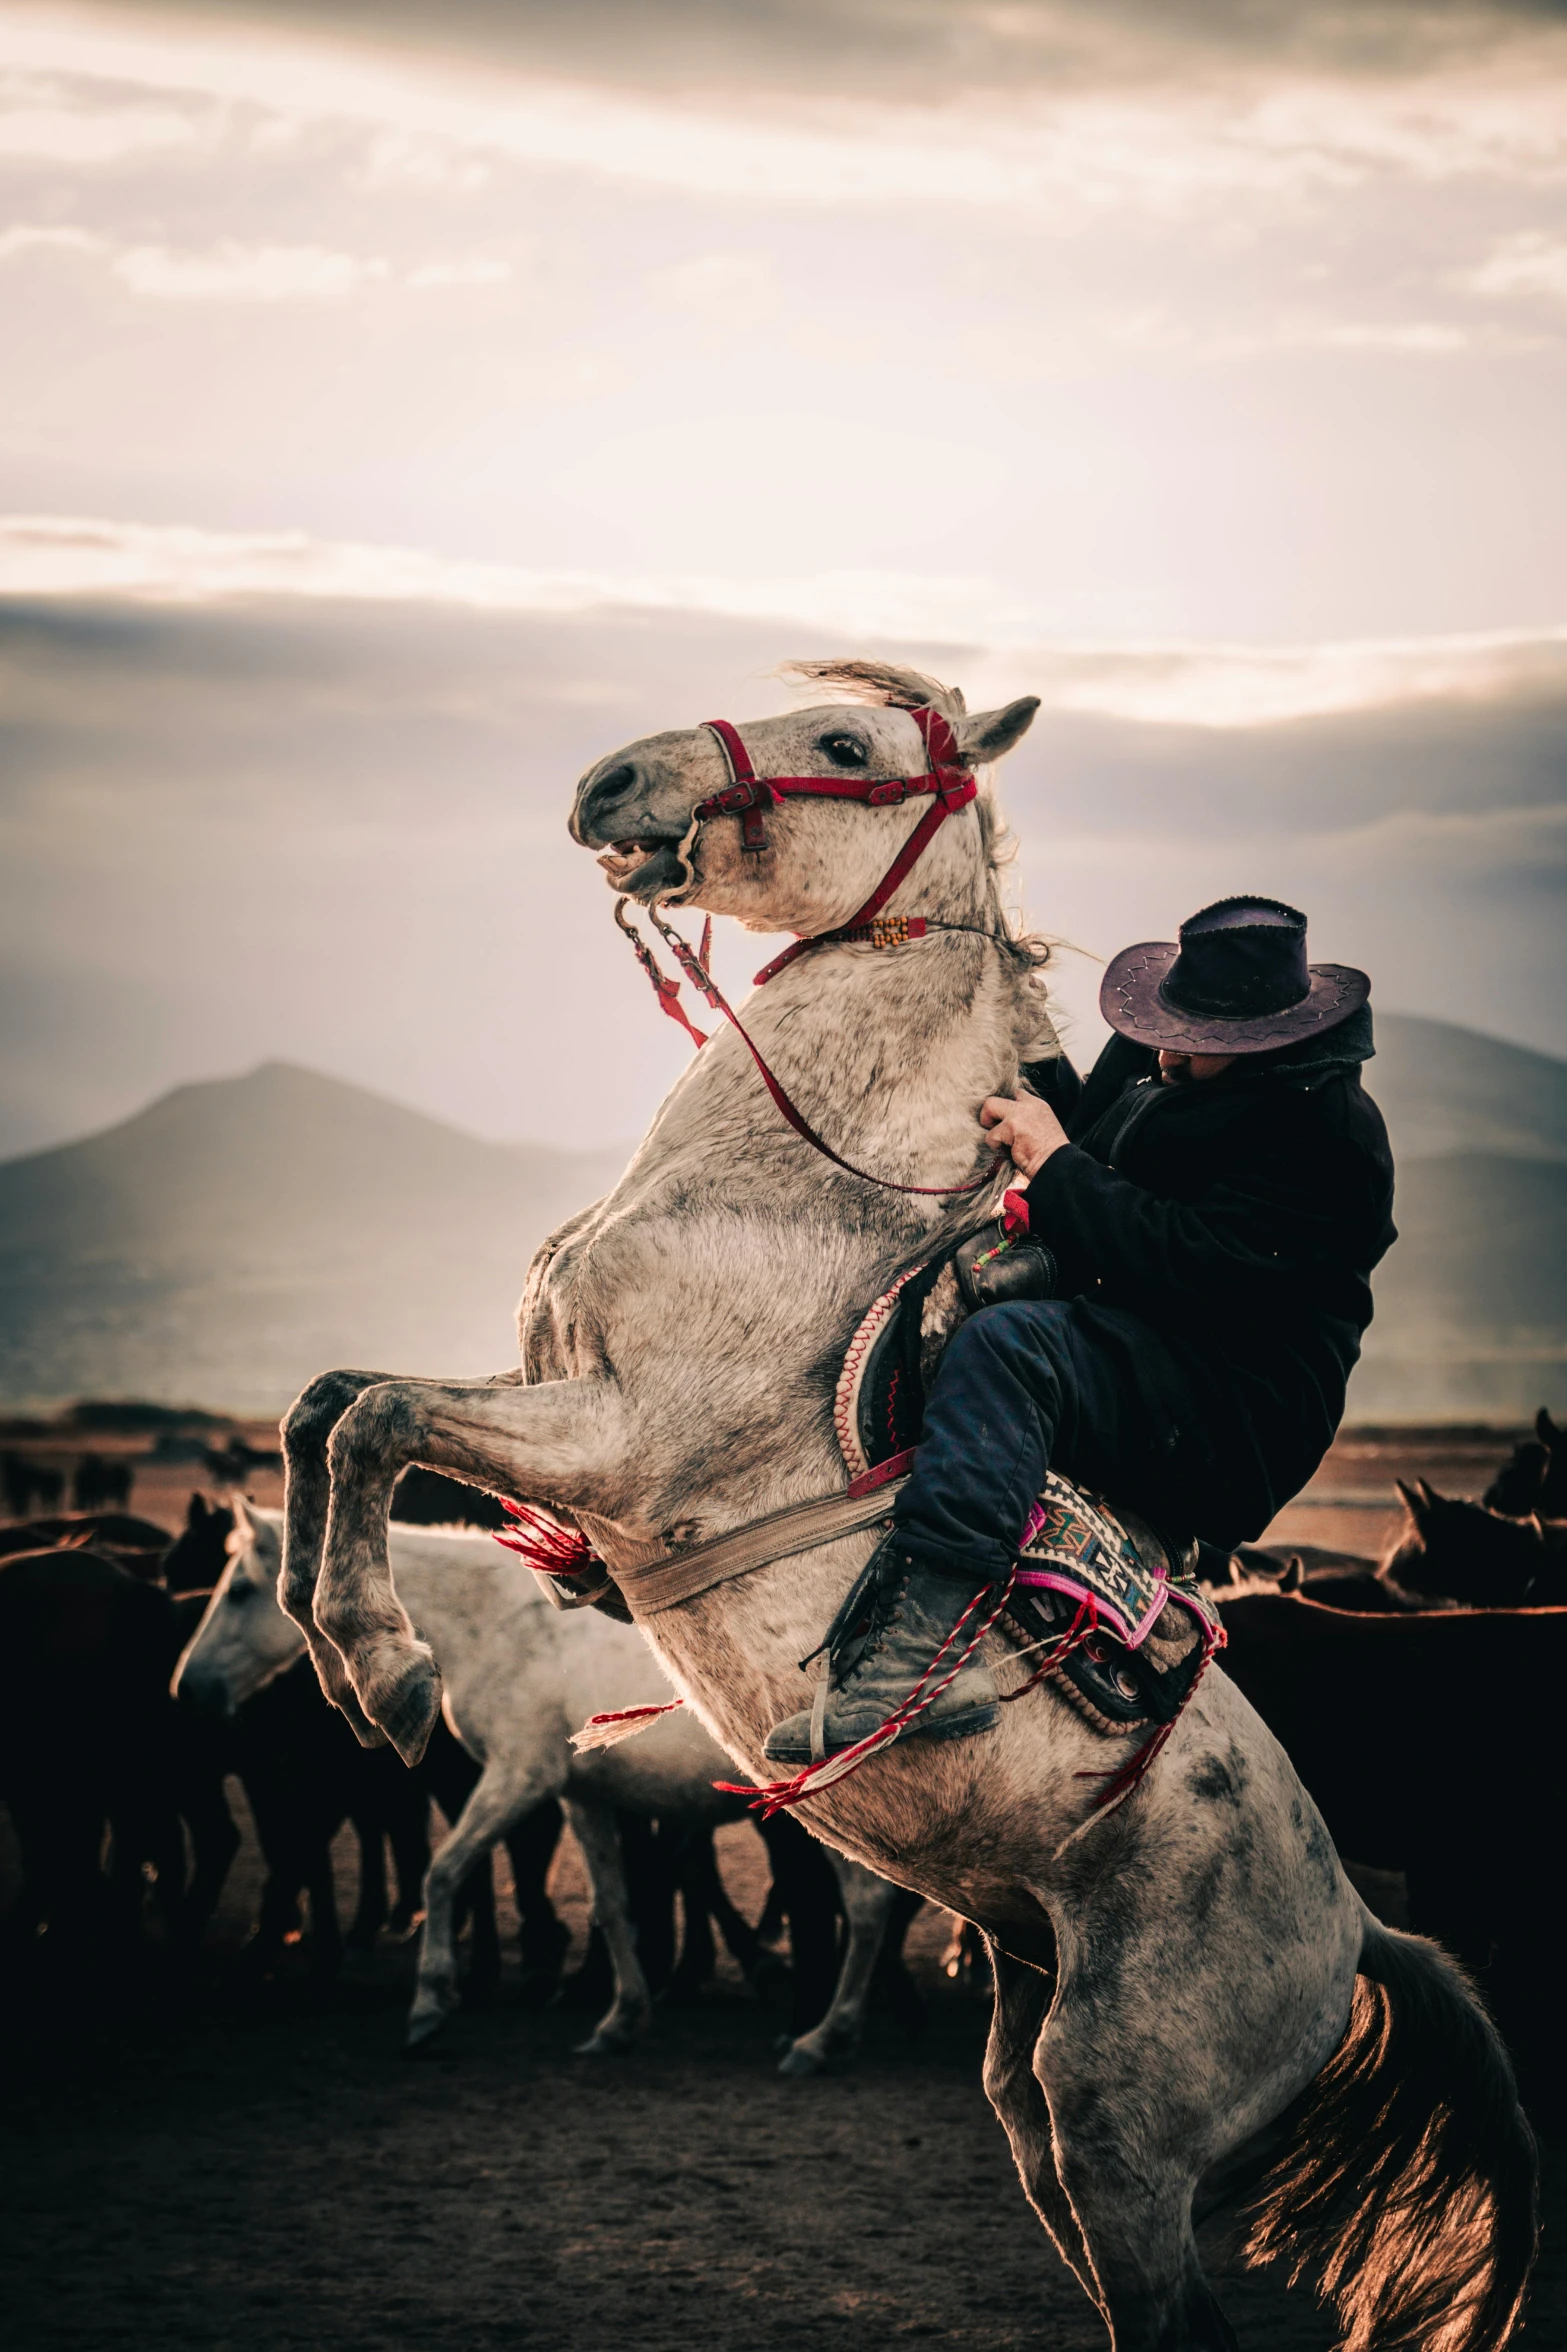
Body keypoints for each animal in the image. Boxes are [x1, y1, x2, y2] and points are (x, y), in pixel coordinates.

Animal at [172, 1495, 898, 2069]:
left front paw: (430, 2006)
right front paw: (621, 2021)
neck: (498, 1625)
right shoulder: (582, 1796)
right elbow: (613, 1905)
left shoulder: (518, 1778)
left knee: (865, 1907)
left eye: (239, 1592)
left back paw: (822, 2038)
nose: (189, 1689)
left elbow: (442, 1872)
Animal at [277, 658, 1524, 2352]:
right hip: (1035, 2077)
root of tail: (1350, 1932)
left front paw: (386, 1669)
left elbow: (378, 1417)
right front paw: (349, 1652)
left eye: (844, 741)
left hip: (1119, 2108)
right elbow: (328, 1404)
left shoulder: (621, 1449)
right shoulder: (557, 1427)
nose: (606, 784)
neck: (789, 1188)